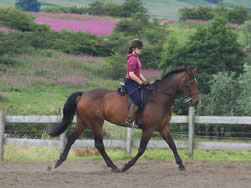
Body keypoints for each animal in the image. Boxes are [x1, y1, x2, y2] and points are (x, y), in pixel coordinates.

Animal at [48, 66, 200, 172]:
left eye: (195, 82)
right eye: (190, 83)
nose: (196, 101)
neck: (159, 98)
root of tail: (84, 93)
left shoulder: (162, 128)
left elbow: (172, 145)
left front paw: (181, 165)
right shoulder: (149, 129)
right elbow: (141, 149)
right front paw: (127, 165)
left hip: (83, 122)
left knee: (71, 139)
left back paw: (58, 162)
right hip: (96, 123)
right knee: (99, 144)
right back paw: (114, 166)